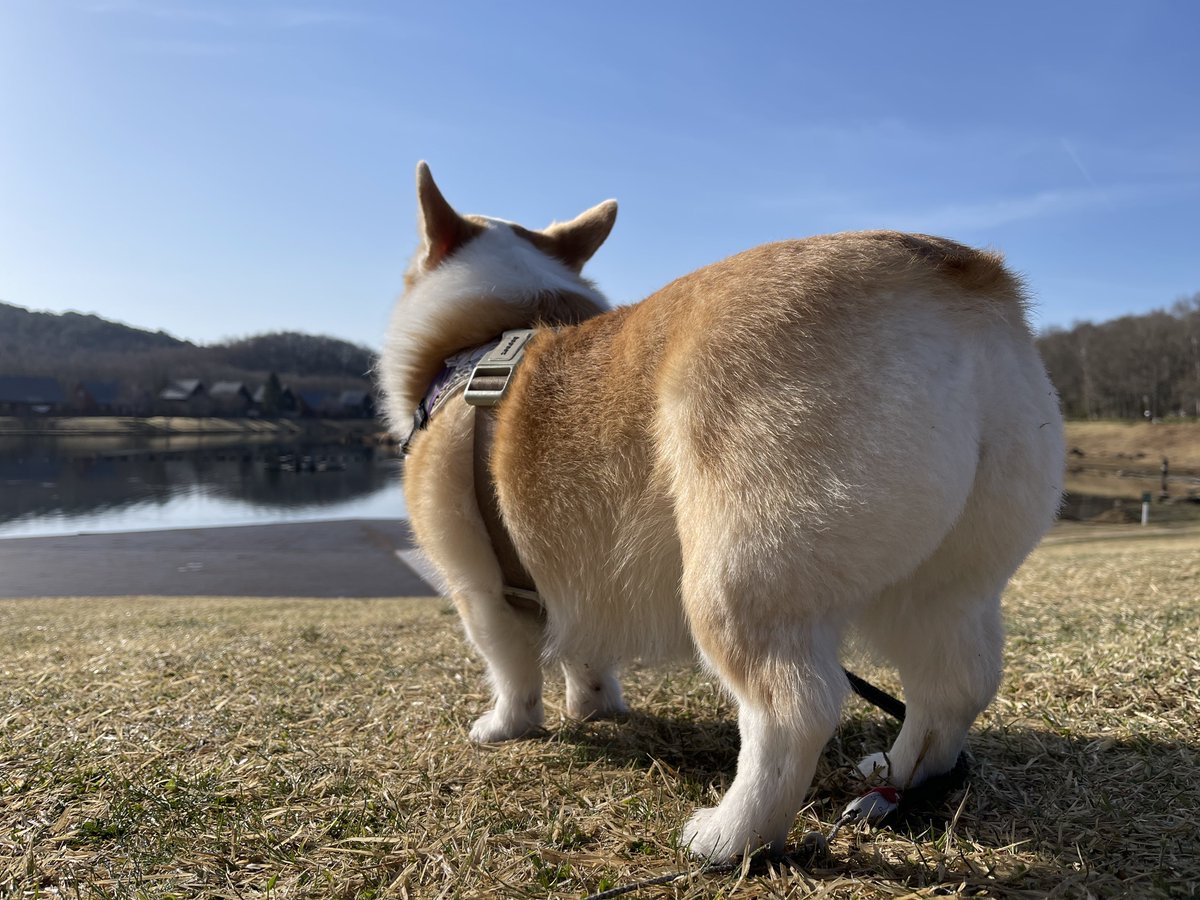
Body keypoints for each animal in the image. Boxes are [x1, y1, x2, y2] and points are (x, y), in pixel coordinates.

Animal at [379, 165, 1065, 864]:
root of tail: (953, 281)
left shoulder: (482, 589)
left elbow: (511, 667)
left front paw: (505, 727)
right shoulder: (575, 581)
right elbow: (585, 653)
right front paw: (594, 707)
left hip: (731, 580)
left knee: (794, 710)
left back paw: (731, 836)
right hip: (946, 584)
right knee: (954, 686)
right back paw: (896, 781)